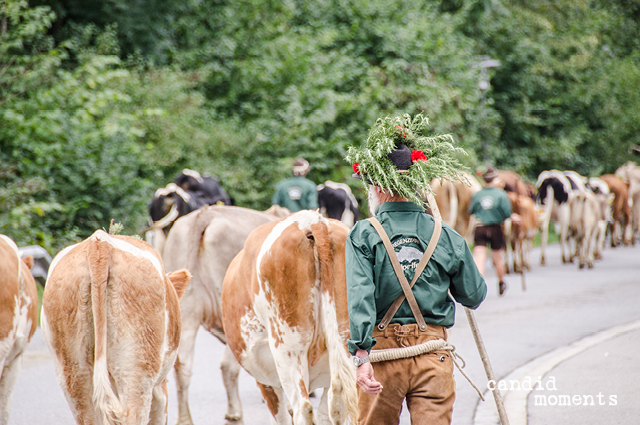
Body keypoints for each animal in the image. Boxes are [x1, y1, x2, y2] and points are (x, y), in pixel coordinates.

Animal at [161, 204, 288, 422]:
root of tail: (204, 215)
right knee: (228, 366)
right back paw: (234, 413)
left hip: (186, 307)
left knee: (182, 365)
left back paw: (185, 419)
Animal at [222, 211, 358, 424]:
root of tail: (312, 220)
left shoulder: (265, 380)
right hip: (345, 341)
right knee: (338, 402)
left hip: (287, 346)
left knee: (303, 407)